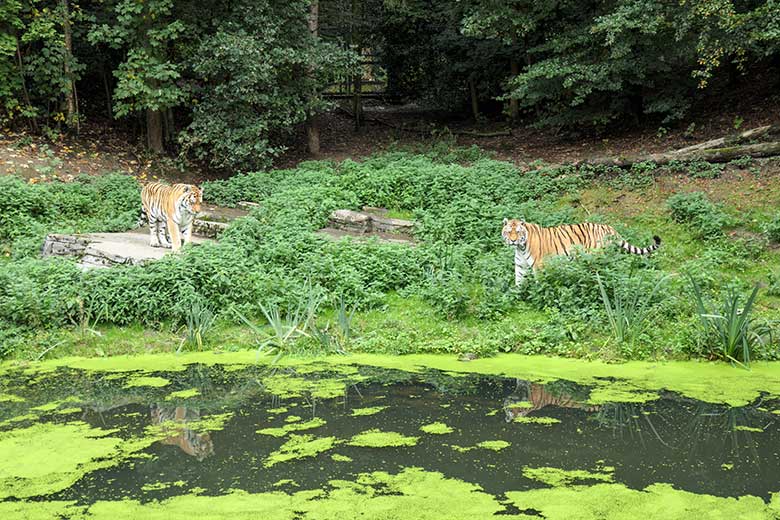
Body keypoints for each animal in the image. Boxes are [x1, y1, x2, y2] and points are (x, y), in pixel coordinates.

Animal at [502, 217, 660, 286]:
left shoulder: (539, 266)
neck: (520, 248)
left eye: (518, 232)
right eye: (509, 232)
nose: (513, 240)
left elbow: (540, 283)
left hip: (595, 255)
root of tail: (608, 227)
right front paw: (517, 295)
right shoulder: (520, 265)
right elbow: (518, 280)